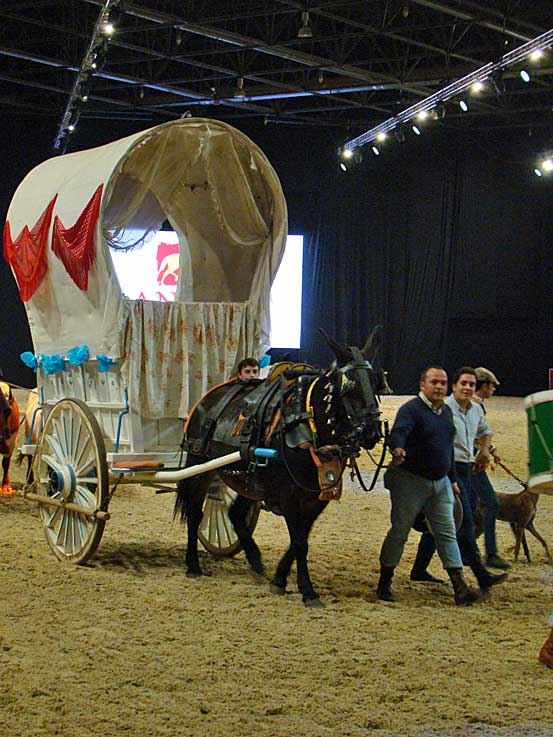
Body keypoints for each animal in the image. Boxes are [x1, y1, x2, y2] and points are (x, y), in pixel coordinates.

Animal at [175, 329, 387, 605]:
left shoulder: (316, 497)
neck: (307, 424)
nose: (371, 431)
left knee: (235, 514)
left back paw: (254, 561)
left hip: (248, 480)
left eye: (375, 381)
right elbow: (299, 542)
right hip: (199, 466)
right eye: (348, 385)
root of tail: (208, 397)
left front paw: (279, 579)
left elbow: (301, 539)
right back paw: (193, 564)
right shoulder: (289, 496)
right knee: (194, 513)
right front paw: (307, 590)